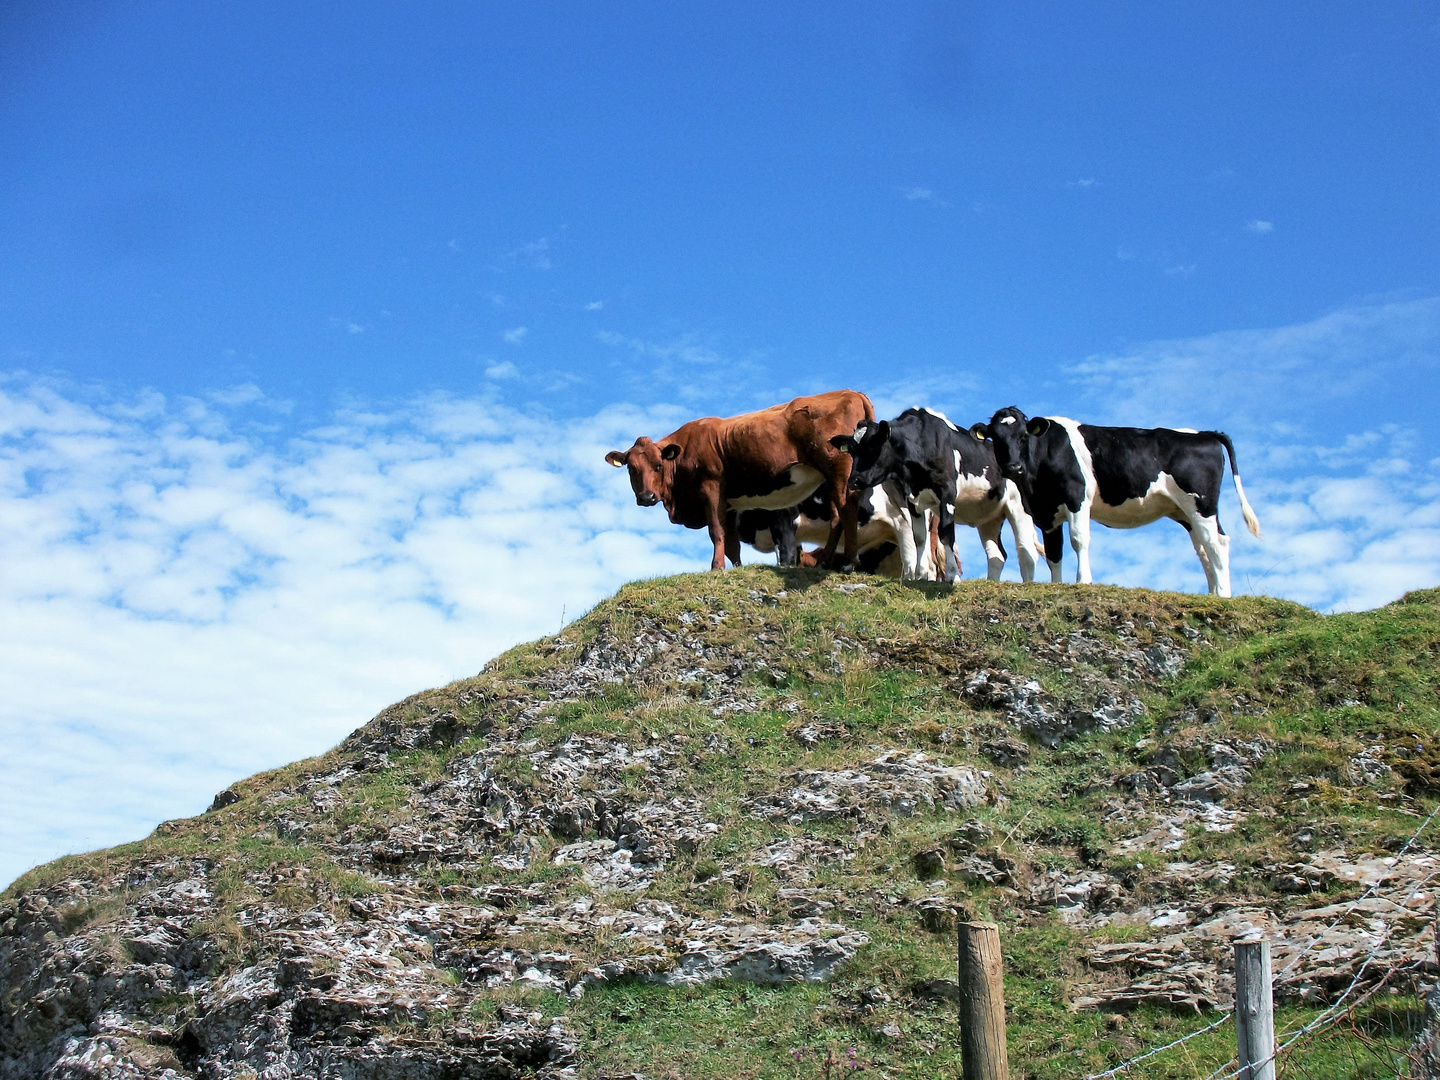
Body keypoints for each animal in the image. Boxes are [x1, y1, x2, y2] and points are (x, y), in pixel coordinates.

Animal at [601, 391, 869, 576]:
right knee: (836, 517)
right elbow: (731, 543)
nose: (647, 497)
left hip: (838, 469)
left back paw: (849, 562)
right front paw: (737, 568)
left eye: (658, 465)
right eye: (631, 468)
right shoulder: (729, 504)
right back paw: (824, 562)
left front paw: (716, 567)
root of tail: (851, 392)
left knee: (847, 509)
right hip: (828, 479)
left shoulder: (711, 487)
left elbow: (716, 532)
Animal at [829, 408, 1042, 584]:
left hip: (1019, 507)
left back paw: (1028, 584)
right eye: (851, 451)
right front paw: (921, 575)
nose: (854, 480)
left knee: (1026, 550)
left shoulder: (947, 493)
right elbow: (919, 537)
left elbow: (946, 534)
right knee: (996, 555)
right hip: (990, 518)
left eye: (873, 447)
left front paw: (952, 576)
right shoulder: (913, 500)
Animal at [967, 408, 1261, 596]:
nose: (1013, 468)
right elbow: (1053, 553)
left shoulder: (1076, 497)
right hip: (1185, 511)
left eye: (1023, 436)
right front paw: (1056, 585)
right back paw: (1212, 593)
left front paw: (1083, 581)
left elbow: (1078, 539)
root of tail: (1204, 434)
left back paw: (1223, 593)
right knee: (1202, 548)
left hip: (1202, 501)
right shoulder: (1046, 512)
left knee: (1217, 542)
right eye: (996, 439)